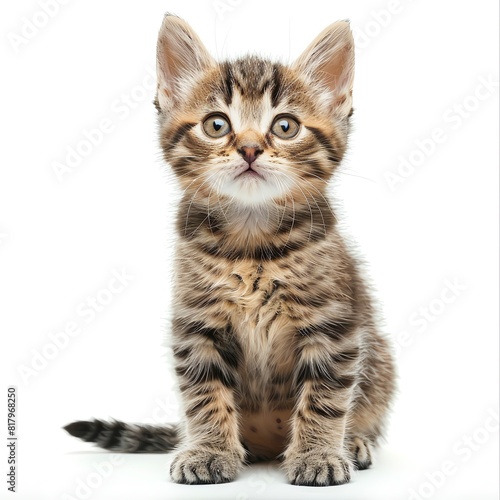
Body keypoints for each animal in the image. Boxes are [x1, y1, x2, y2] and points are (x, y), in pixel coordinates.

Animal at [64, 14, 396, 484]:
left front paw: (317, 454)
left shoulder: (334, 324)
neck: (251, 242)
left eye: (285, 126)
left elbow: (326, 398)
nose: (250, 148)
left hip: (380, 360)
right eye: (217, 125)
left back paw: (353, 443)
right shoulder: (196, 323)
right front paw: (208, 450)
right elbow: (204, 395)